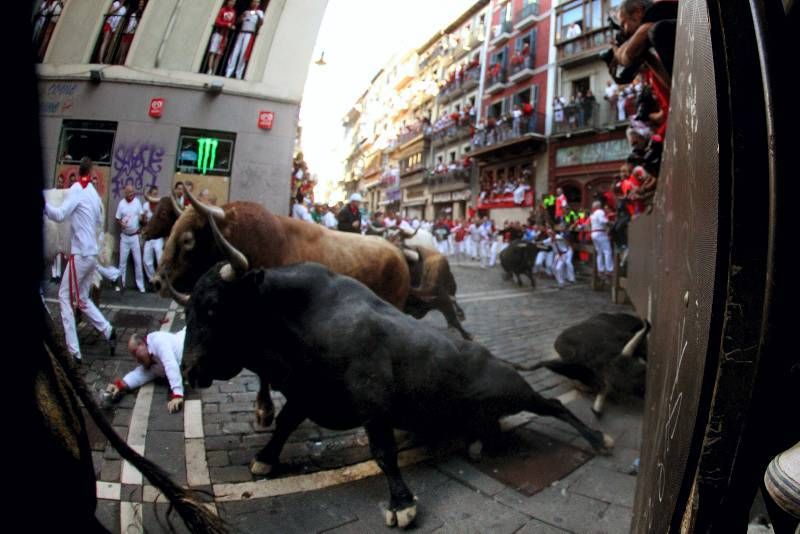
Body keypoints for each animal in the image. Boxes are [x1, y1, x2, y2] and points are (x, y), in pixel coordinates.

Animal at [184, 262, 616, 528]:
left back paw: (598, 439)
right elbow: (285, 423)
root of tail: (492, 355)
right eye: (187, 309)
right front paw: (265, 458)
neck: (304, 318)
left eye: (213, 307)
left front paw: (402, 504)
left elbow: (383, 452)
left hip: (513, 392)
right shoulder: (307, 393)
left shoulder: (372, 401)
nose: (188, 370)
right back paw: (478, 442)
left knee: (554, 405)